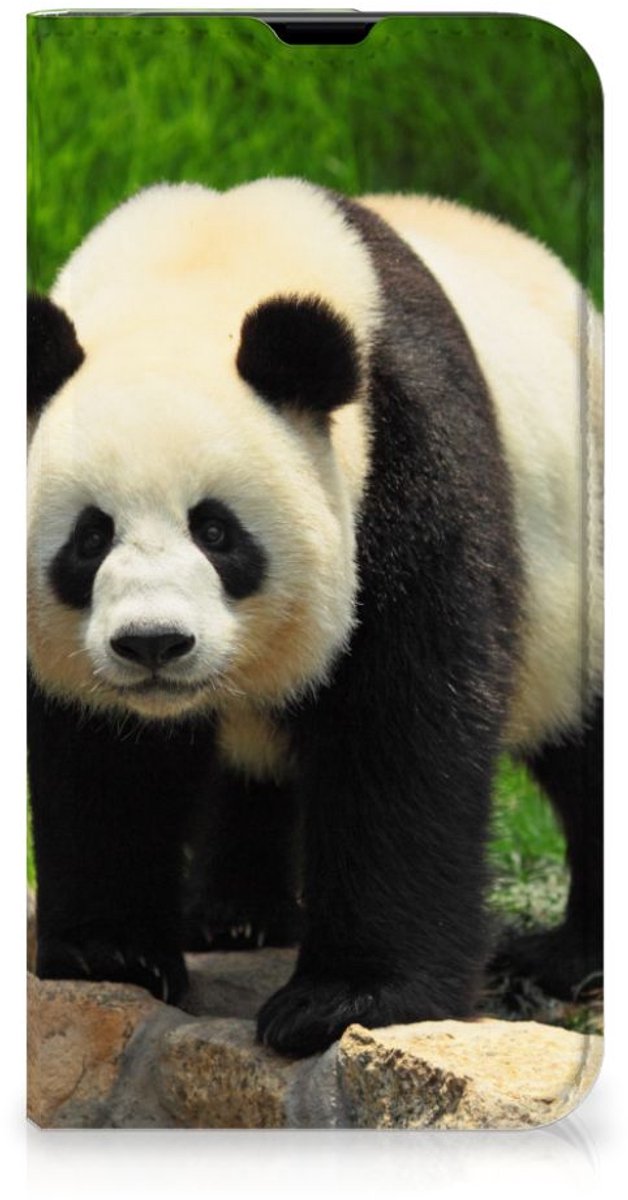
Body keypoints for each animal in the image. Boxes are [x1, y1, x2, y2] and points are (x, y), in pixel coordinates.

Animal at [27, 178, 602, 1056]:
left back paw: (569, 960)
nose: (154, 644)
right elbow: (100, 754)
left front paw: (346, 1000)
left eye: (217, 531)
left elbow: (401, 727)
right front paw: (110, 953)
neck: (199, 270)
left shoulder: (406, 456)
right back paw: (234, 915)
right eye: (91, 538)